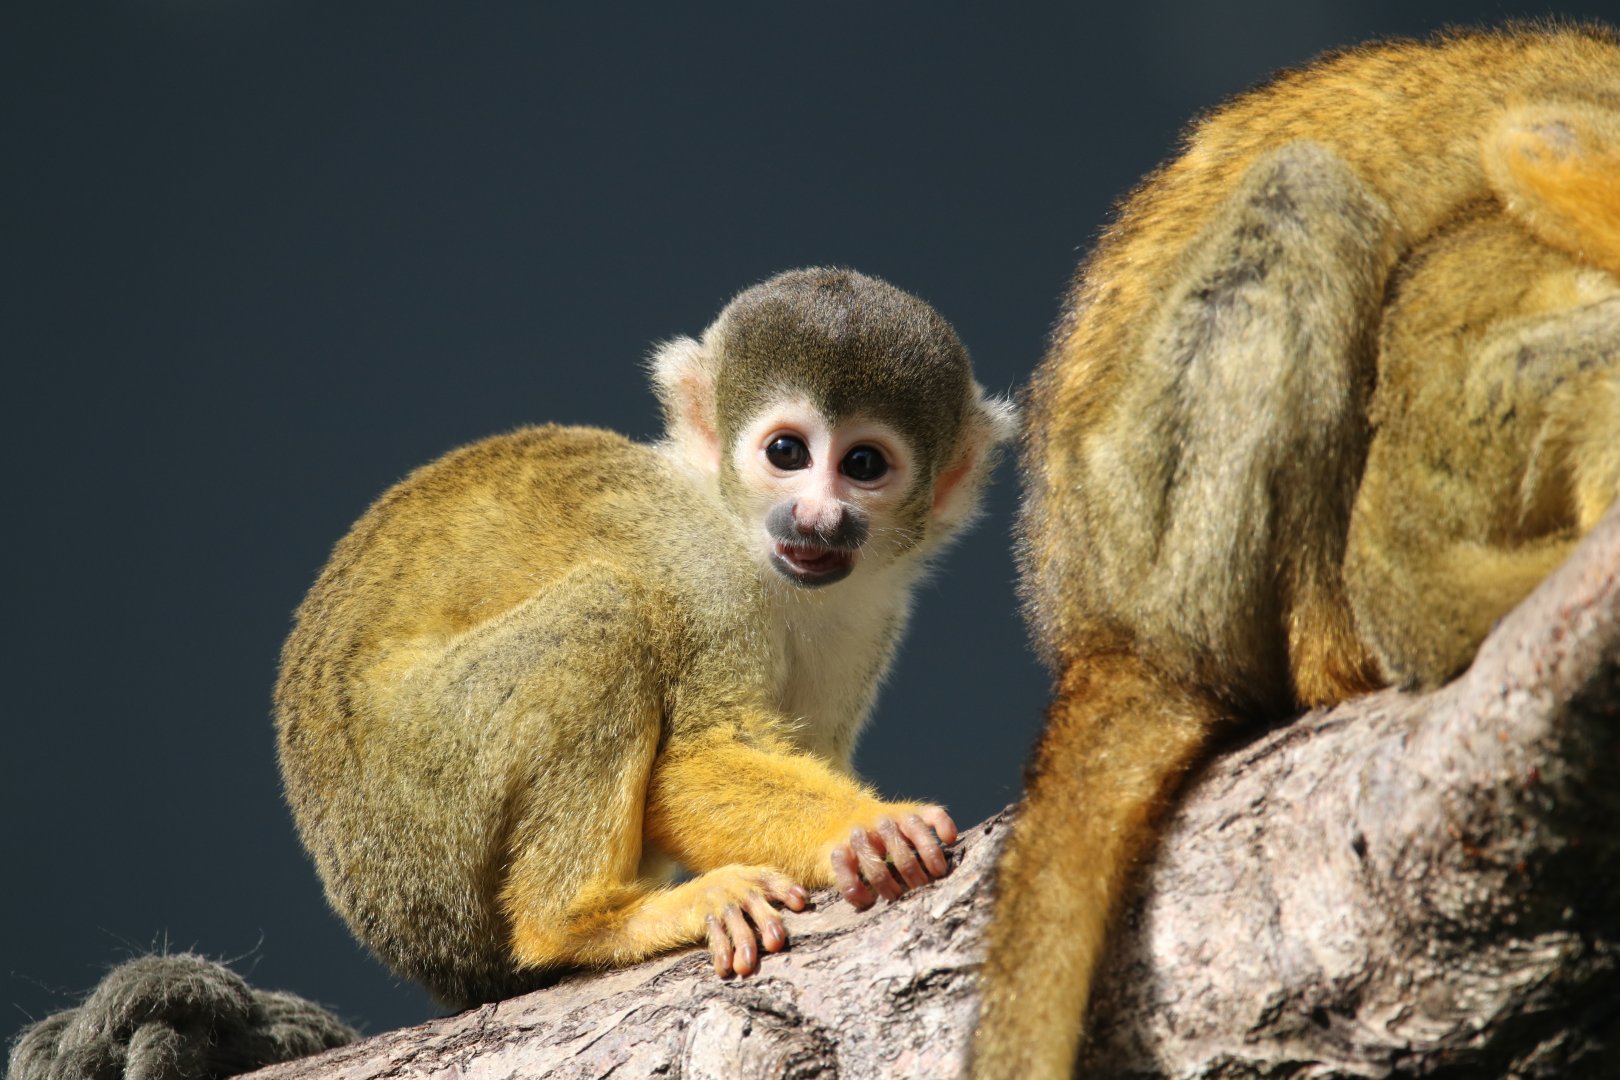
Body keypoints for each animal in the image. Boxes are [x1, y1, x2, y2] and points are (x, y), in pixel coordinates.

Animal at [274, 267, 1017, 1010]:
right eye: (787, 453)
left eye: (863, 464)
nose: (817, 519)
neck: (745, 539)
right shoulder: (701, 570)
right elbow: (689, 761)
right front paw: (862, 828)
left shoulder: (872, 612)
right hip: (413, 791)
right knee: (607, 616)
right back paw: (580, 921)